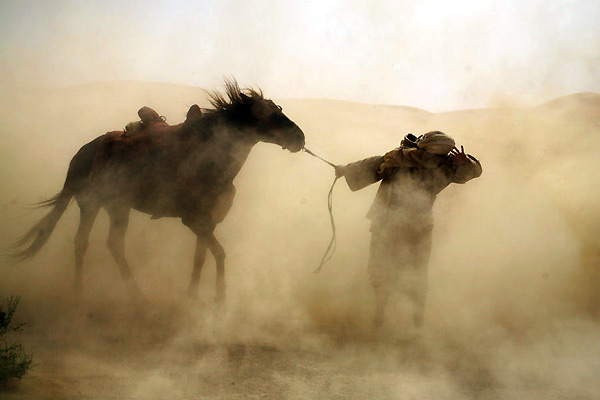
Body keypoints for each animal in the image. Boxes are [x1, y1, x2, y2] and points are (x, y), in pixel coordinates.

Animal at [10, 79, 304, 302]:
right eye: (267, 113)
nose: (299, 138)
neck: (211, 157)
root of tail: (82, 153)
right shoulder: (193, 220)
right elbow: (219, 253)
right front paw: (219, 298)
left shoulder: (207, 222)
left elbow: (201, 257)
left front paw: (193, 295)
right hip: (96, 204)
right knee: (91, 242)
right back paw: (99, 294)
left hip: (113, 206)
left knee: (104, 243)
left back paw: (118, 293)